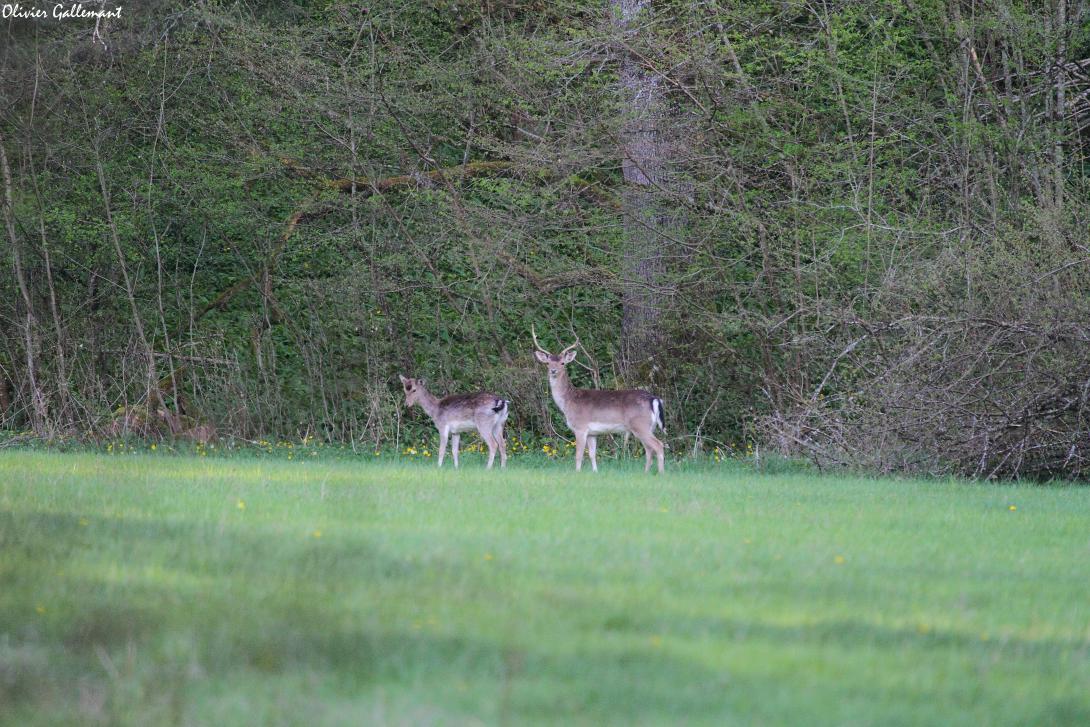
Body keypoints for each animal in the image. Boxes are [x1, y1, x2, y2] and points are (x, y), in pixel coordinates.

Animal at [529, 326, 662, 475]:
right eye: (547, 363)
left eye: (562, 363)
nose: (553, 370)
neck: (568, 402)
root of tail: (654, 399)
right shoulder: (592, 433)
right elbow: (592, 454)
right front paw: (595, 472)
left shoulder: (580, 427)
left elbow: (579, 454)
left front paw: (577, 473)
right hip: (648, 426)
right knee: (649, 449)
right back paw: (646, 473)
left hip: (640, 424)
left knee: (658, 445)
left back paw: (661, 473)